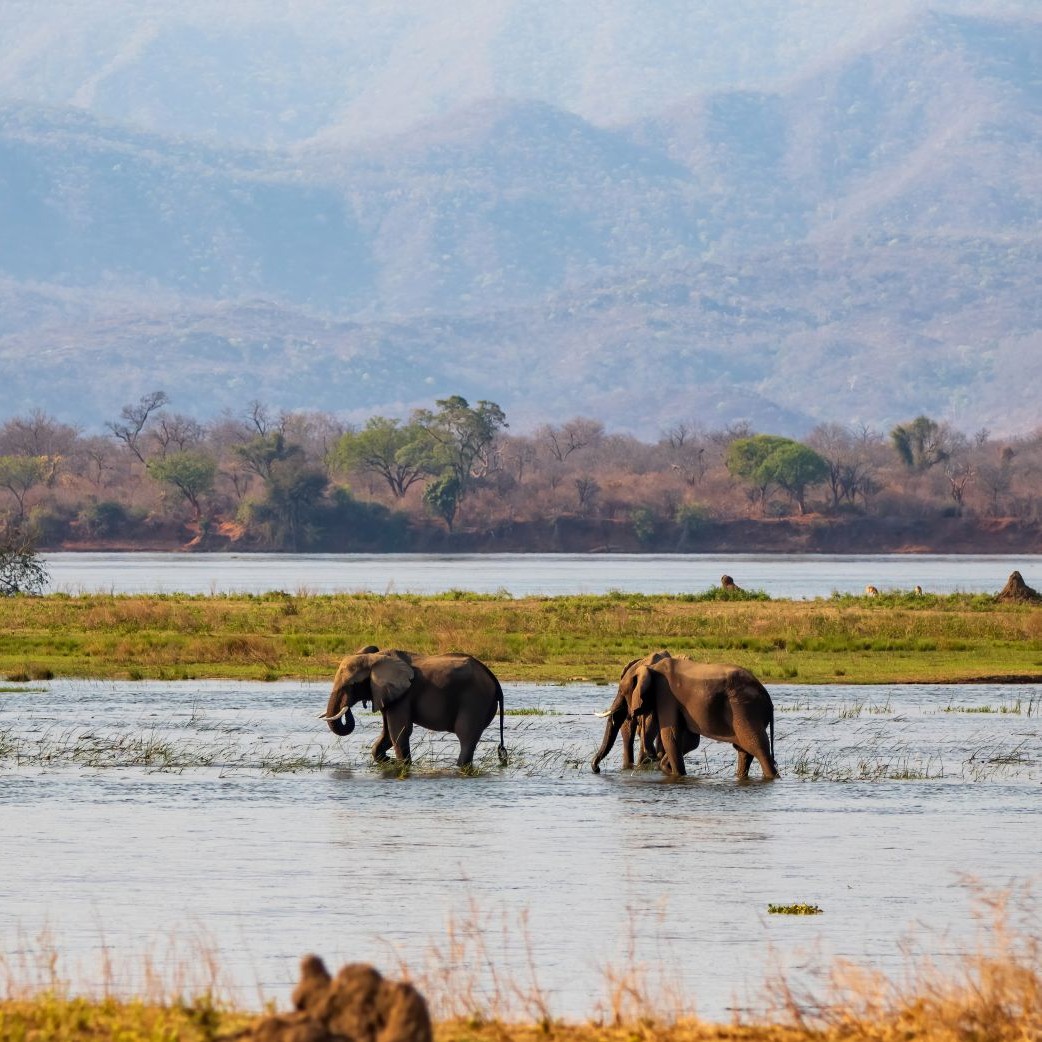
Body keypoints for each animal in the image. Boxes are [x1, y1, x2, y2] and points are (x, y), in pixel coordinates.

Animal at [319, 646, 506, 768]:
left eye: (352, 685)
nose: (347, 708)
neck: (374, 658)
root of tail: (493, 677)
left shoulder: (403, 696)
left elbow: (398, 731)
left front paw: (403, 765)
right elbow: (387, 734)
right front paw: (389, 762)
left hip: (475, 700)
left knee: (466, 735)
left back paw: (460, 766)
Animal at [591, 651, 778, 780]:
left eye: (622, 691)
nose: (596, 769)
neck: (651, 668)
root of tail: (767, 699)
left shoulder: (666, 694)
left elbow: (670, 735)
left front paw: (675, 773)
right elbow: (689, 740)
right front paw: (665, 766)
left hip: (745, 710)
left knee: (757, 747)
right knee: (744, 751)